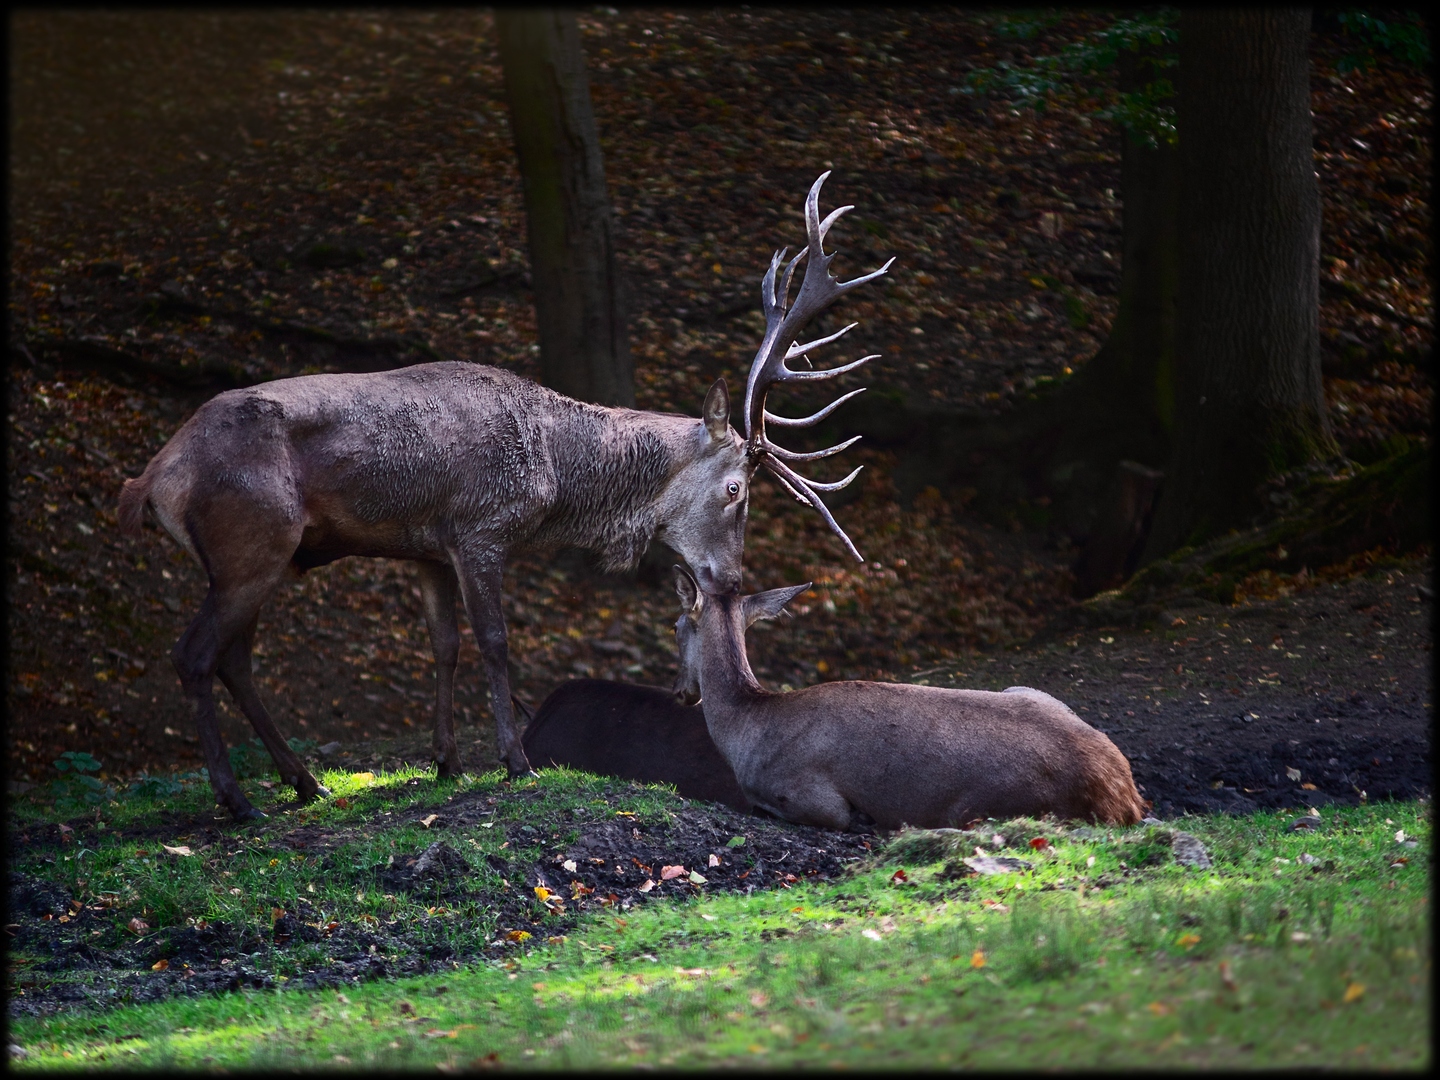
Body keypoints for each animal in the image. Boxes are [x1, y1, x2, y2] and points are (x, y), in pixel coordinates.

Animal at [668, 567, 1140, 829]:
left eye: (675, 626)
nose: (681, 692)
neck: (749, 728)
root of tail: (1125, 796)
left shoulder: (810, 795)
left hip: (982, 808)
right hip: (1027, 691)